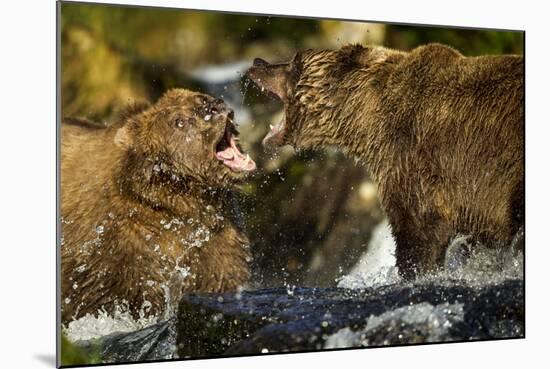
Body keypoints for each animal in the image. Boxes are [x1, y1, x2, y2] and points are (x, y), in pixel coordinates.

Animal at [61, 88, 258, 322]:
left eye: (201, 98)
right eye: (178, 121)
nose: (216, 106)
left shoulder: (215, 240)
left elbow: (220, 277)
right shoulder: (115, 251)